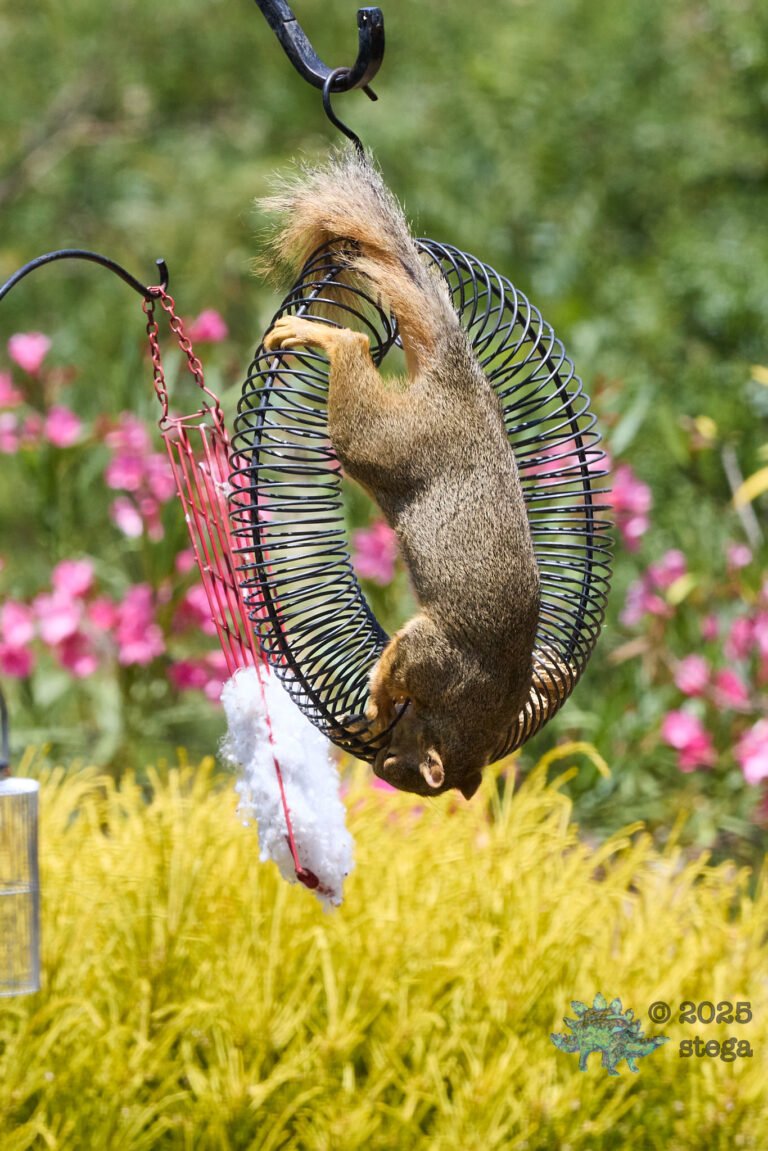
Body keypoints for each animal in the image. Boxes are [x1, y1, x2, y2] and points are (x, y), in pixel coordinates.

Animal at [261, 146, 546, 800]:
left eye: (407, 774)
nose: (378, 770)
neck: (475, 708)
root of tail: (459, 388)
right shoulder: (434, 652)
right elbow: (397, 657)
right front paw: (376, 696)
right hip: (380, 442)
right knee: (352, 350)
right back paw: (317, 333)